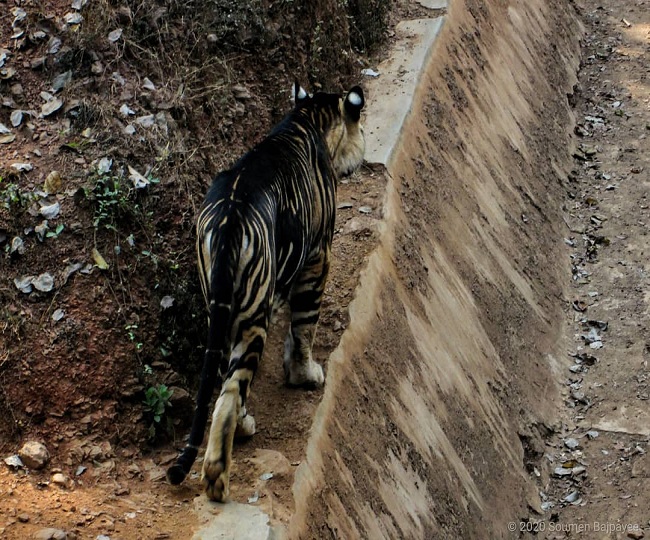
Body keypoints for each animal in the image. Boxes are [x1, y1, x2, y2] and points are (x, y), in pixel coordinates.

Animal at [167, 81, 364, 502]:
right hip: (252, 316)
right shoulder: (318, 255)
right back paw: (217, 478)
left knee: (225, 381)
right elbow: (305, 323)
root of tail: (229, 220)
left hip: (222, 310)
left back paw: (241, 430)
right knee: (229, 393)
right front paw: (305, 374)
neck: (306, 116)